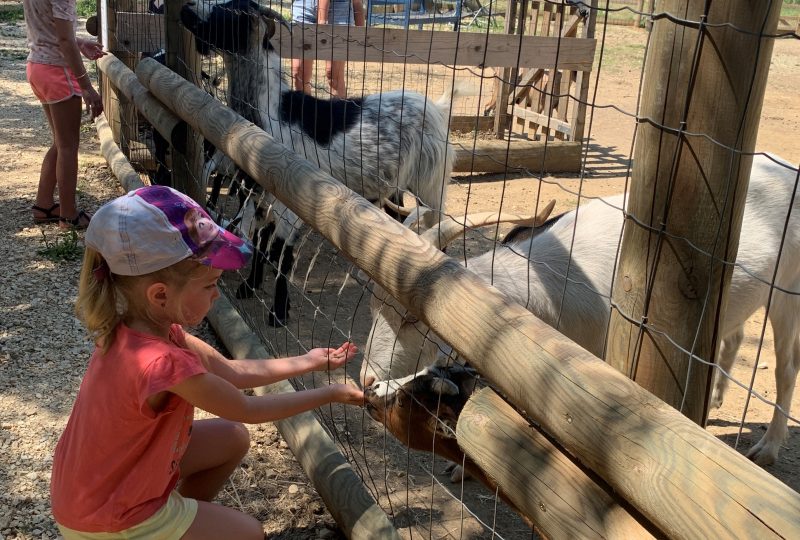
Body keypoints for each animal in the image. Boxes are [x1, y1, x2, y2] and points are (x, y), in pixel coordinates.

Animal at [183, 0, 456, 324]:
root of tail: (437, 107)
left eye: (228, 13)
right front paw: (250, 287)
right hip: (398, 185)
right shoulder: (262, 197)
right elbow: (261, 241)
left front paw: (278, 313)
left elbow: (282, 254)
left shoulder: (291, 205)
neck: (271, 110)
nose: (186, 8)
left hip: (432, 183)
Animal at [364, 154, 800, 466]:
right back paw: (714, 401)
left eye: (413, 316)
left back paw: (768, 447)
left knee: (786, 366)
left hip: (788, 293)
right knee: (734, 334)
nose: (367, 378)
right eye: (373, 302)